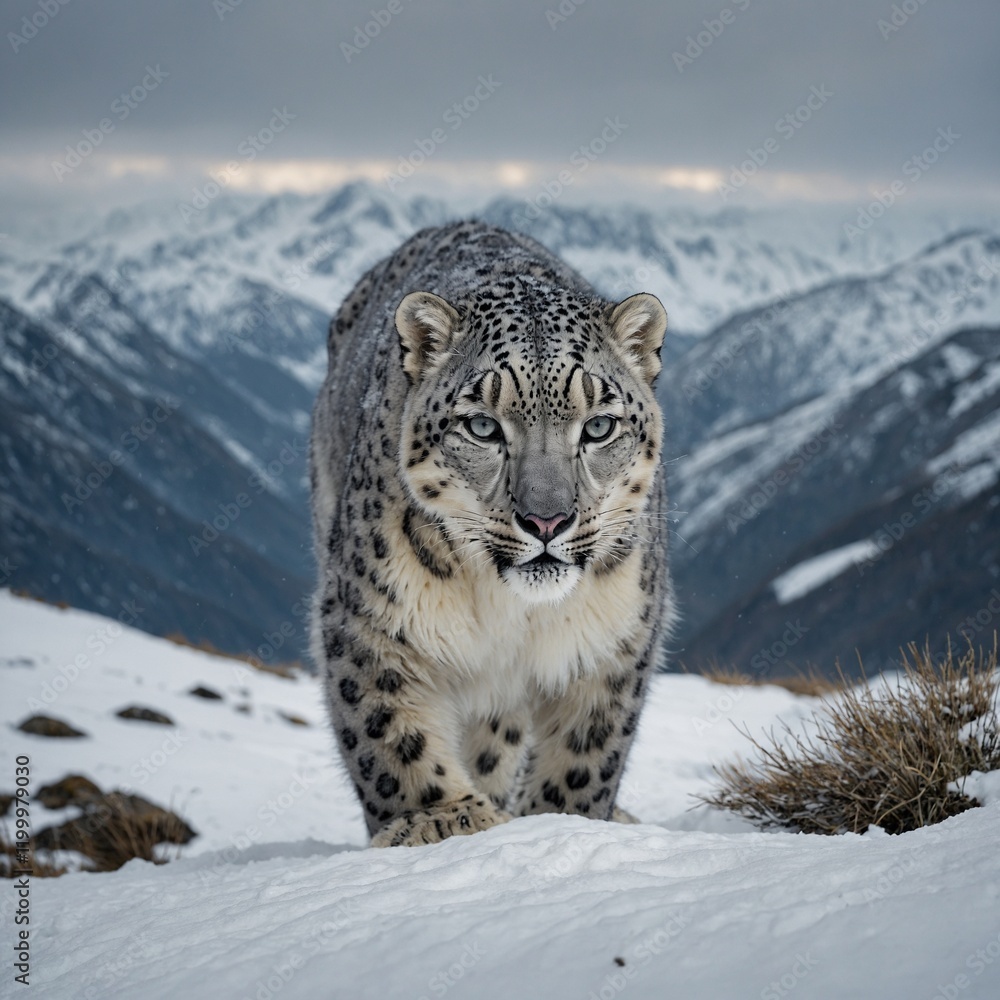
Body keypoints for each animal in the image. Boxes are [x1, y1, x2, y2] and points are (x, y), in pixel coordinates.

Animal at [309, 220, 675, 847]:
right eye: (482, 425)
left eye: (599, 426)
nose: (547, 520)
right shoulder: (368, 612)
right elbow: (387, 728)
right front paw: (438, 820)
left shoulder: (620, 629)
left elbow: (587, 748)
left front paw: (561, 820)